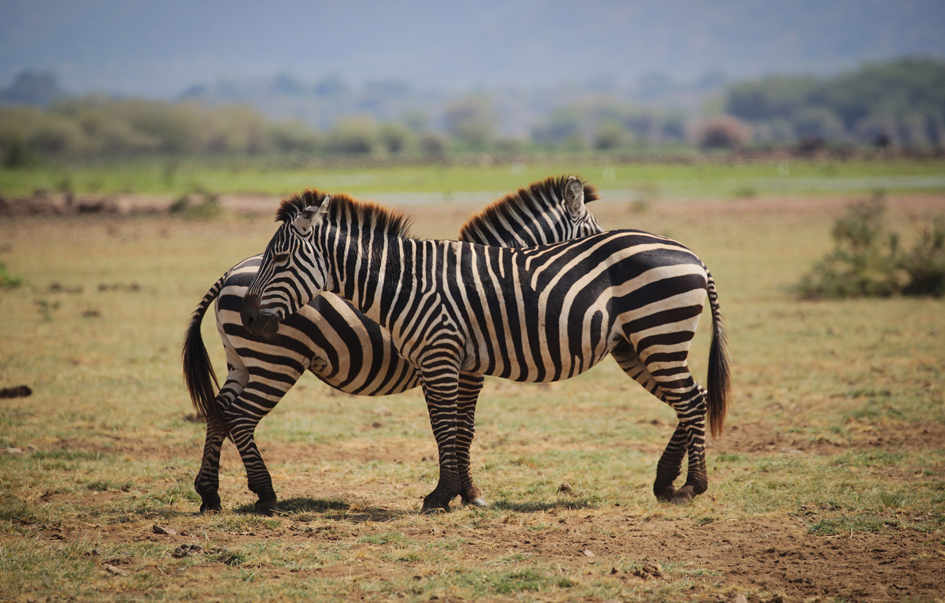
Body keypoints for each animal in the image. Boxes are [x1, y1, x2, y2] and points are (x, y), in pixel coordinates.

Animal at [181, 175, 600, 516]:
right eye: (594, 237)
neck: (488, 278)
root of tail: (229, 273)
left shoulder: (460, 364)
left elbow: (460, 427)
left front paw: (465, 494)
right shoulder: (465, 367)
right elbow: (459, 428)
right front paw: (462, 494)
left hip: (241, 360)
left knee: (219, 411)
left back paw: (210, 495)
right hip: (276, 361)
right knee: (241, 417)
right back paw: (265, 494)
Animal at [240, 190, 728, 516]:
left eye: (280, 259)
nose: (249, 317)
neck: (404, 282)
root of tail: (694, 255)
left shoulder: (440, 356)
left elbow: (446, 428)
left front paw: (442, 496)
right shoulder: (457, 362)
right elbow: (459, 429)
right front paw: (463, 494)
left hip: (658, 333)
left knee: (692, 399)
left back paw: (691, 486)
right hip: (641, 344)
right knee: (693, 398)